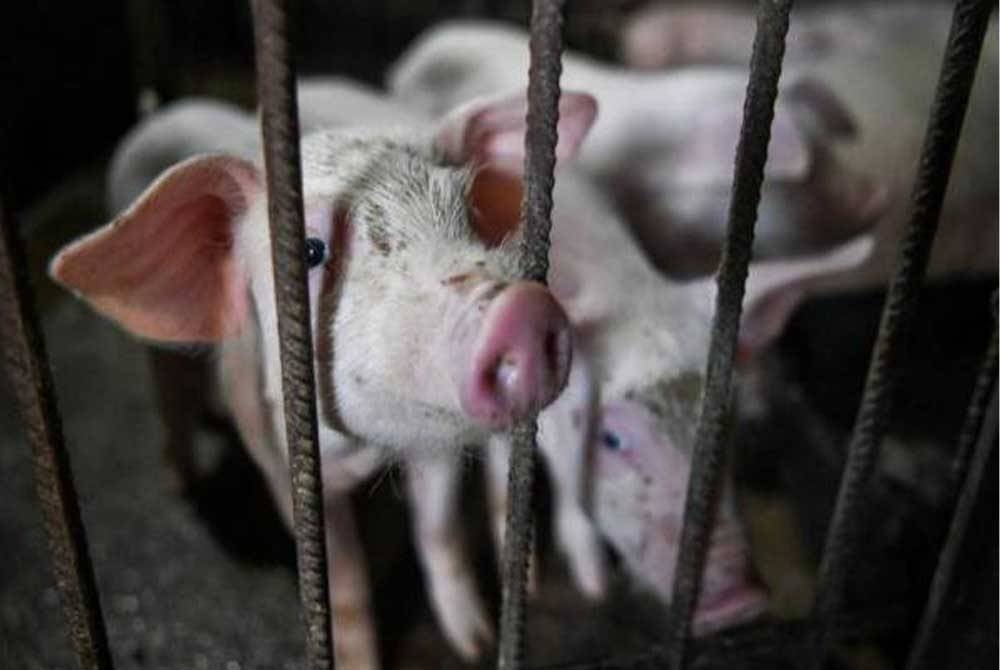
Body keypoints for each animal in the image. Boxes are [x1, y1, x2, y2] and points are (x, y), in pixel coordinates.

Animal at [48, 89, 593, 669]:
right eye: (311, 250)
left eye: (469, 214)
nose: (524, 308)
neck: (361, 455)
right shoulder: (284, 464)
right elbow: (345, 586)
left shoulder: (431, 446)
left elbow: (439, 529)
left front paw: (476, 643)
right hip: (163, 361)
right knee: (172, 395)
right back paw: (180, 481)